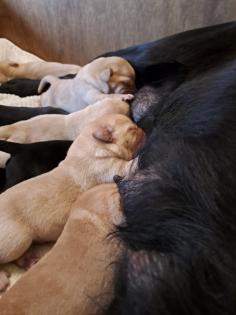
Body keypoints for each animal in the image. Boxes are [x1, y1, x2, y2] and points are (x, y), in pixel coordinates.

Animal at [0, 113, 144, 272]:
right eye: (132, 129)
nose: (143, 130)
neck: (90, 145)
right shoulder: (112, 168)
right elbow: (131, 165)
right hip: (17, 240)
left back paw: (28, 261)